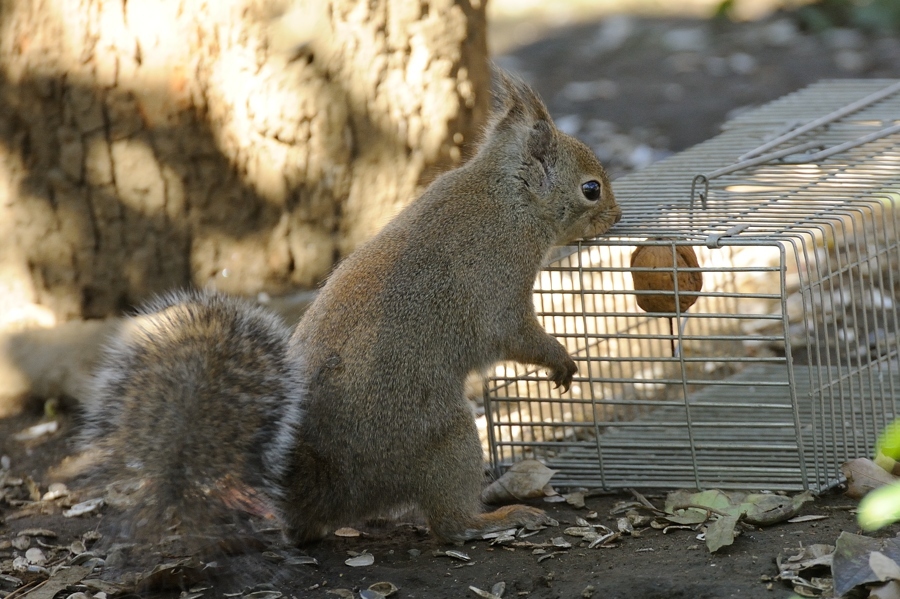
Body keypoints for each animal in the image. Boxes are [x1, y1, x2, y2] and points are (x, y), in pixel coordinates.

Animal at [79, 70, 620, 552]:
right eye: (590, 188)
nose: (617, 217)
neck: (507, 198)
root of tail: (315, 489)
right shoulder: (499, 279)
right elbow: (518, 335)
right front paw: (561, 361)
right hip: (444, 438)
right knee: (449, 523)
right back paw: (498, 517)